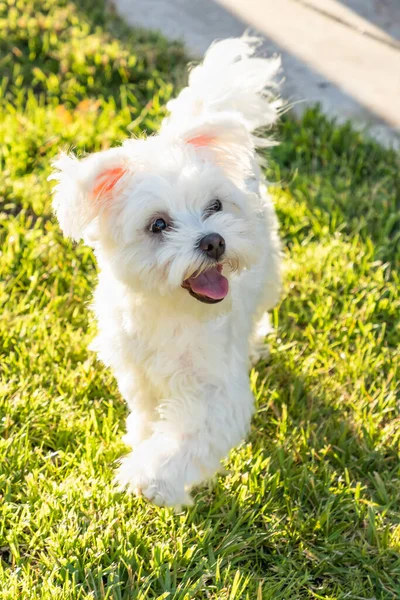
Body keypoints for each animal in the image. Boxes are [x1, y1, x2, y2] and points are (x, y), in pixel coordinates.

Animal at [50, 37, 282, 506]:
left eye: (215, 205)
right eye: (158, 225)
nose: (213, 241)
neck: (172, 311)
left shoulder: (215, 390)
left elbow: (188, 436)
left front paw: (151, 477)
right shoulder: (137, 370)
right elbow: (146, 411)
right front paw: (141, 439)